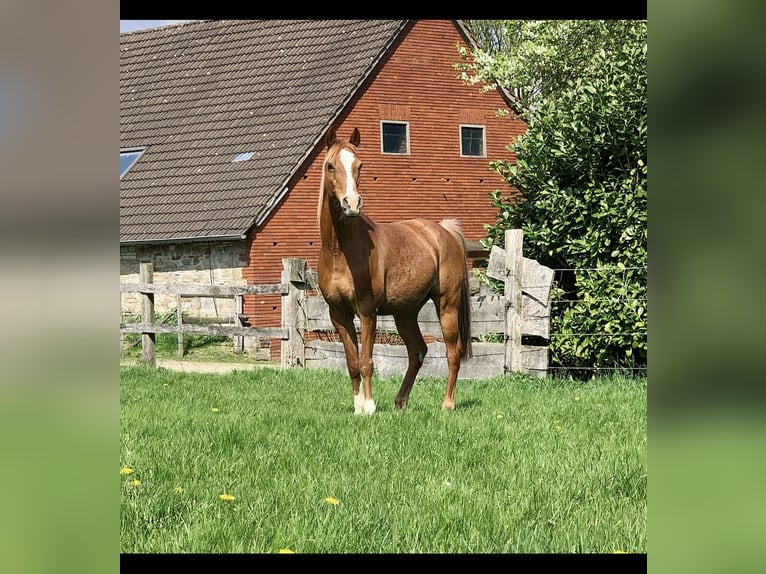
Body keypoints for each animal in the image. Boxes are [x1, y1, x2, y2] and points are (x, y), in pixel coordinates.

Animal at [316, 126, 472, 416]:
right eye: (330, 166)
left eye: (359, 165)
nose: (352, 204)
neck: (340, 250)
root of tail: (444, 231)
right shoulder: (338, 314)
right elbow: (352, 362)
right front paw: (358, 407)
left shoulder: (367, 310)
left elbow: (366, 361)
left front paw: (369, 406)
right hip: (405, 312)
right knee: (417, 351)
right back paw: (401, 401)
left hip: (447, 304)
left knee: (452, 352)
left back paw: (447, 404)